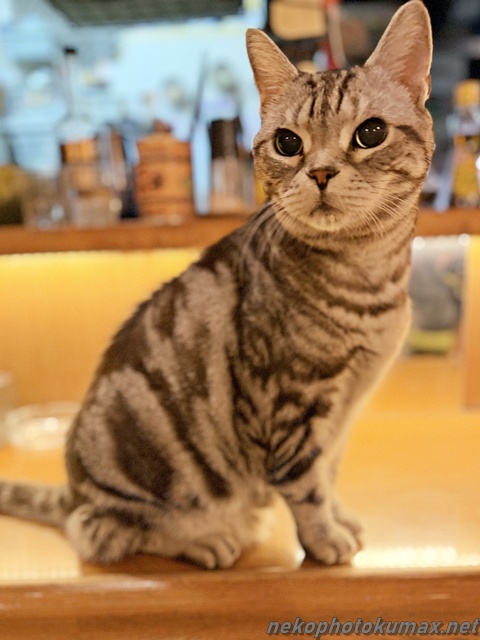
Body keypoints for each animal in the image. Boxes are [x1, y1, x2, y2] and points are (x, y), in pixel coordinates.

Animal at [0, 0, 433, 569]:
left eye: (371, 133)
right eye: (288, 143)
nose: (319, 173)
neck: (371, 272)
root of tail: (73, 490)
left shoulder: (341, 412)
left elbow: (330, 473)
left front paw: (342, 519)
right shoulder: (293, 403)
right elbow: (307, 486)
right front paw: (324, 539)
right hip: (130, 484)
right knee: (101, 530)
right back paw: (203, 540)